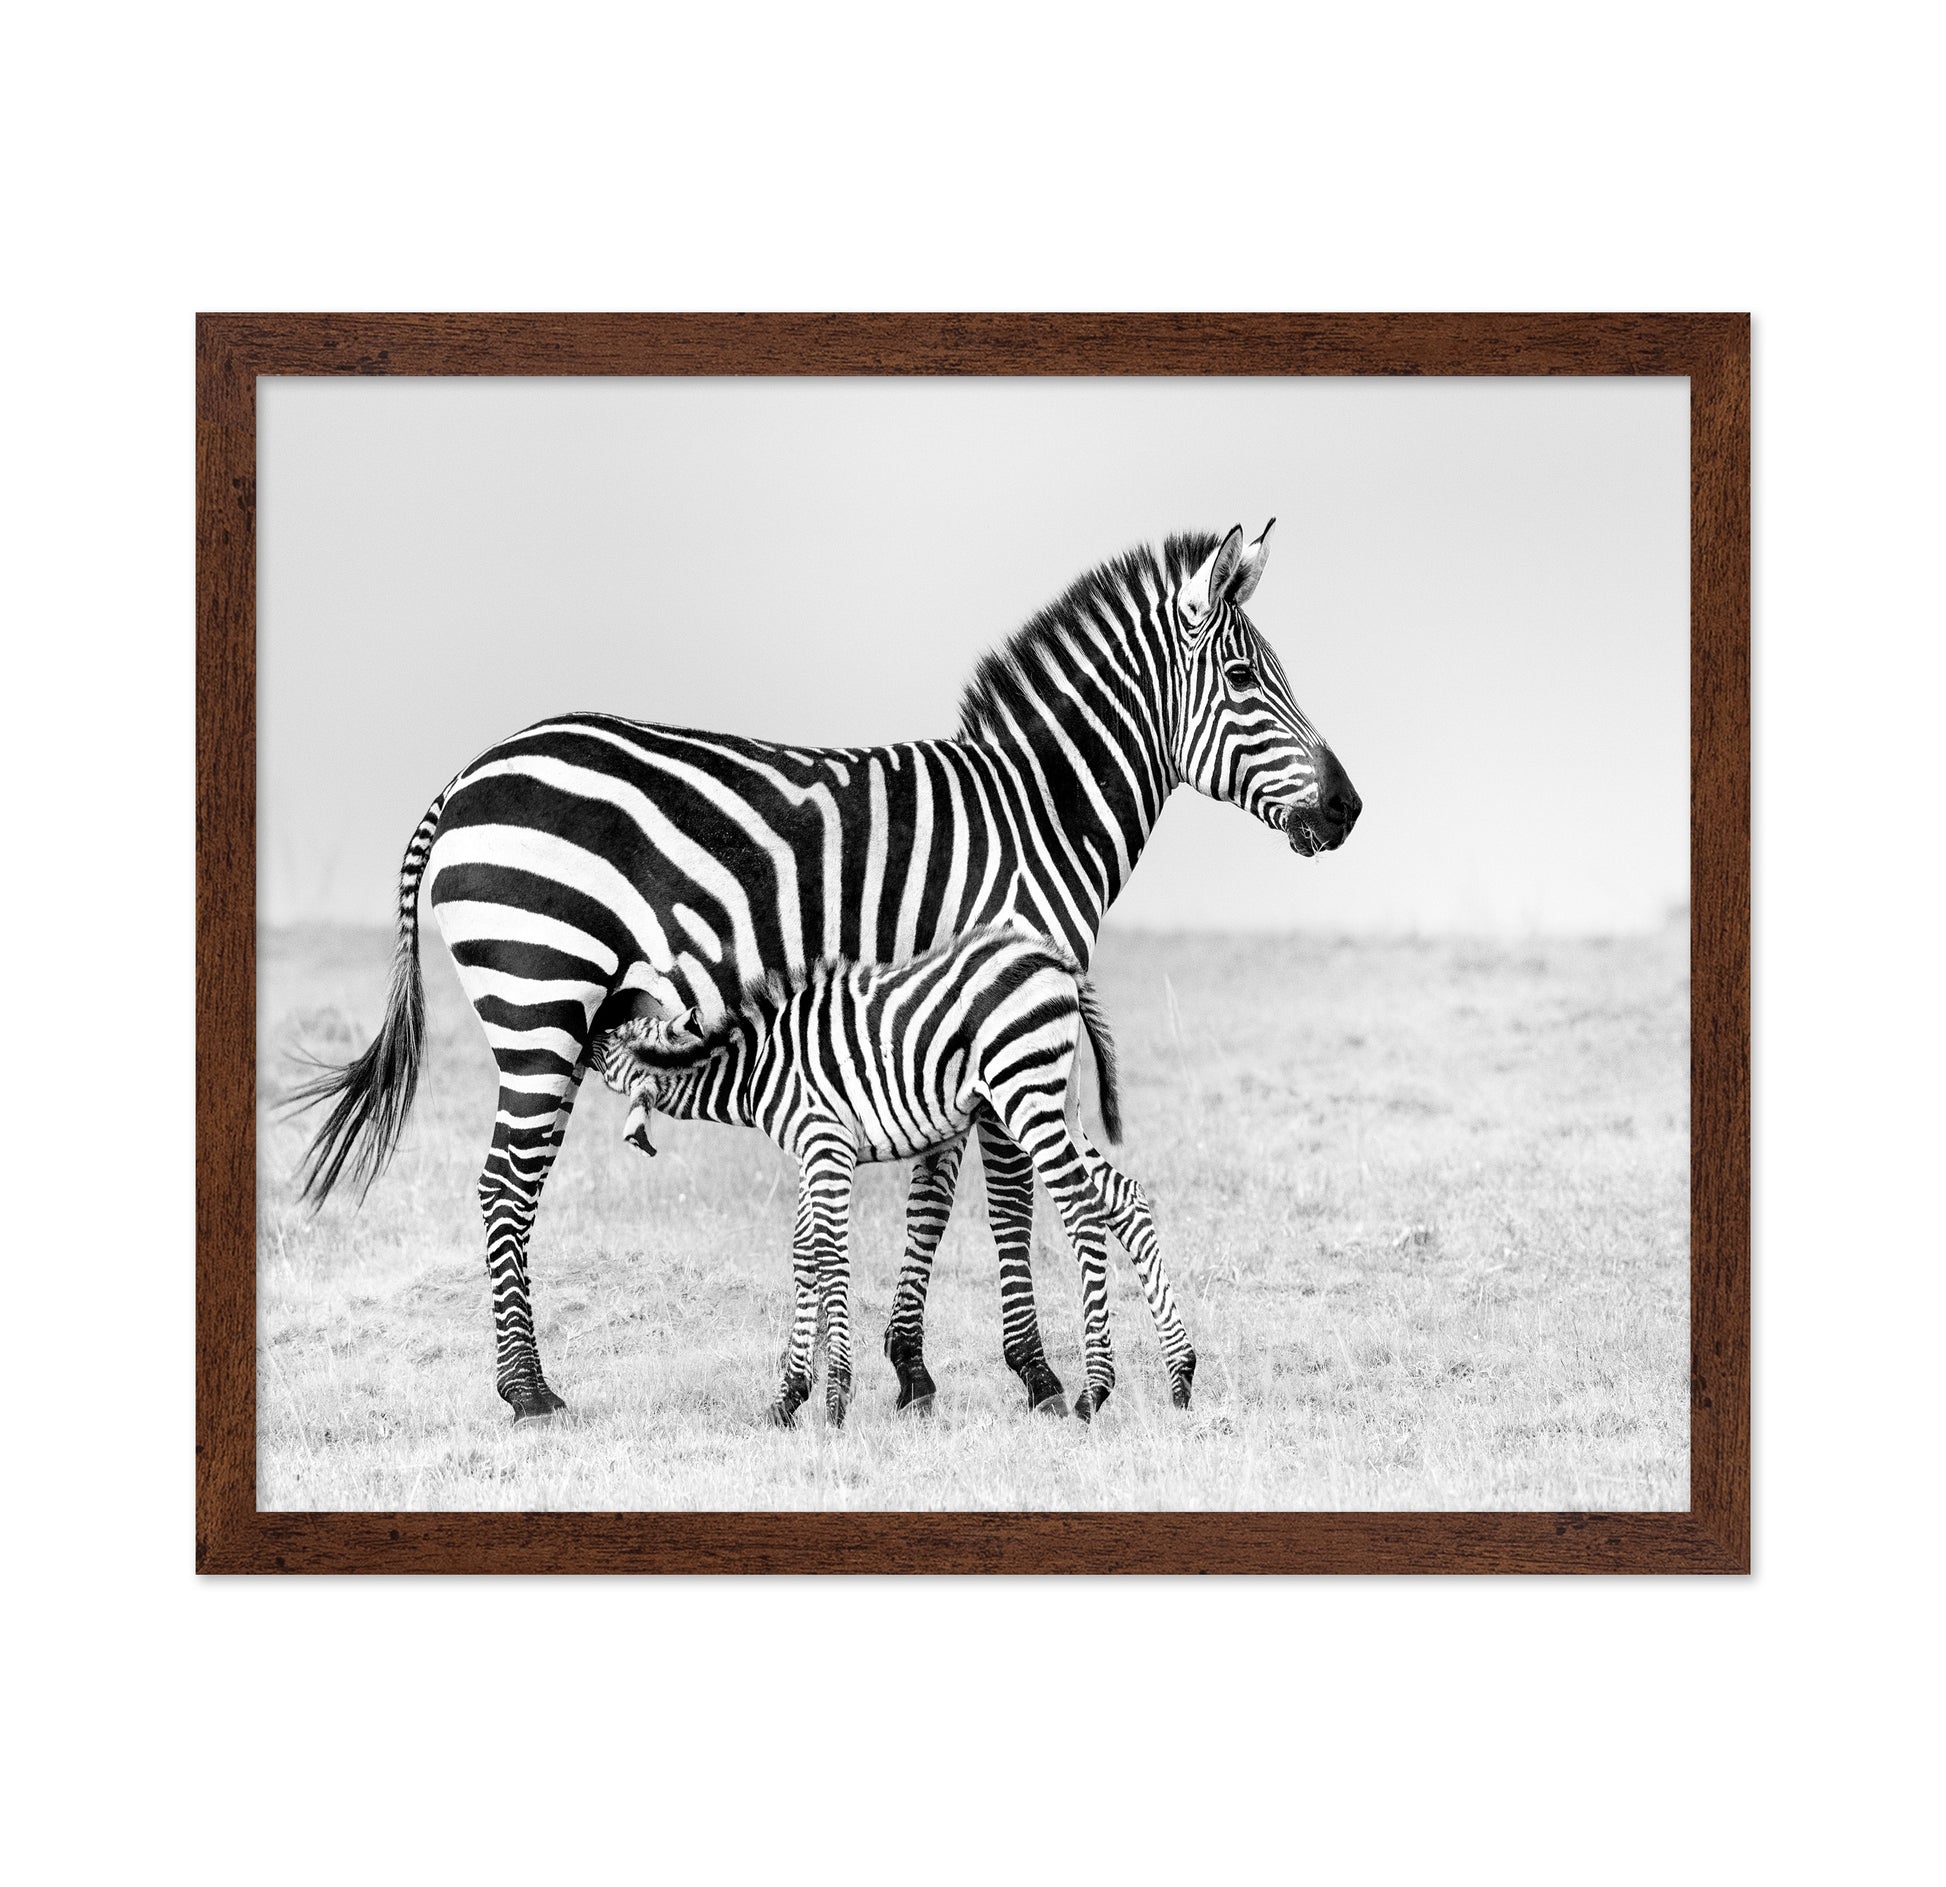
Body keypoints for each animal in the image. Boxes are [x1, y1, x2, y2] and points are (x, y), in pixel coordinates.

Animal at [591, 929, 1194, 1425]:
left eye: (613, 1037)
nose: (590, 1020)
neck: (759, 1069)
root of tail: (1054, 959)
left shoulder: (826, 1144)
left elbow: (829, 1258)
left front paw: (835, 1402)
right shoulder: (815, 1152)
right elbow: (804, 1254)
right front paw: (787, 1398)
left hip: (1025, 1094)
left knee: (1081, 1208)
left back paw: (1095, 1390)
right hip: (1060, 1100)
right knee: (1124, 1198)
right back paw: (1181, 1377)